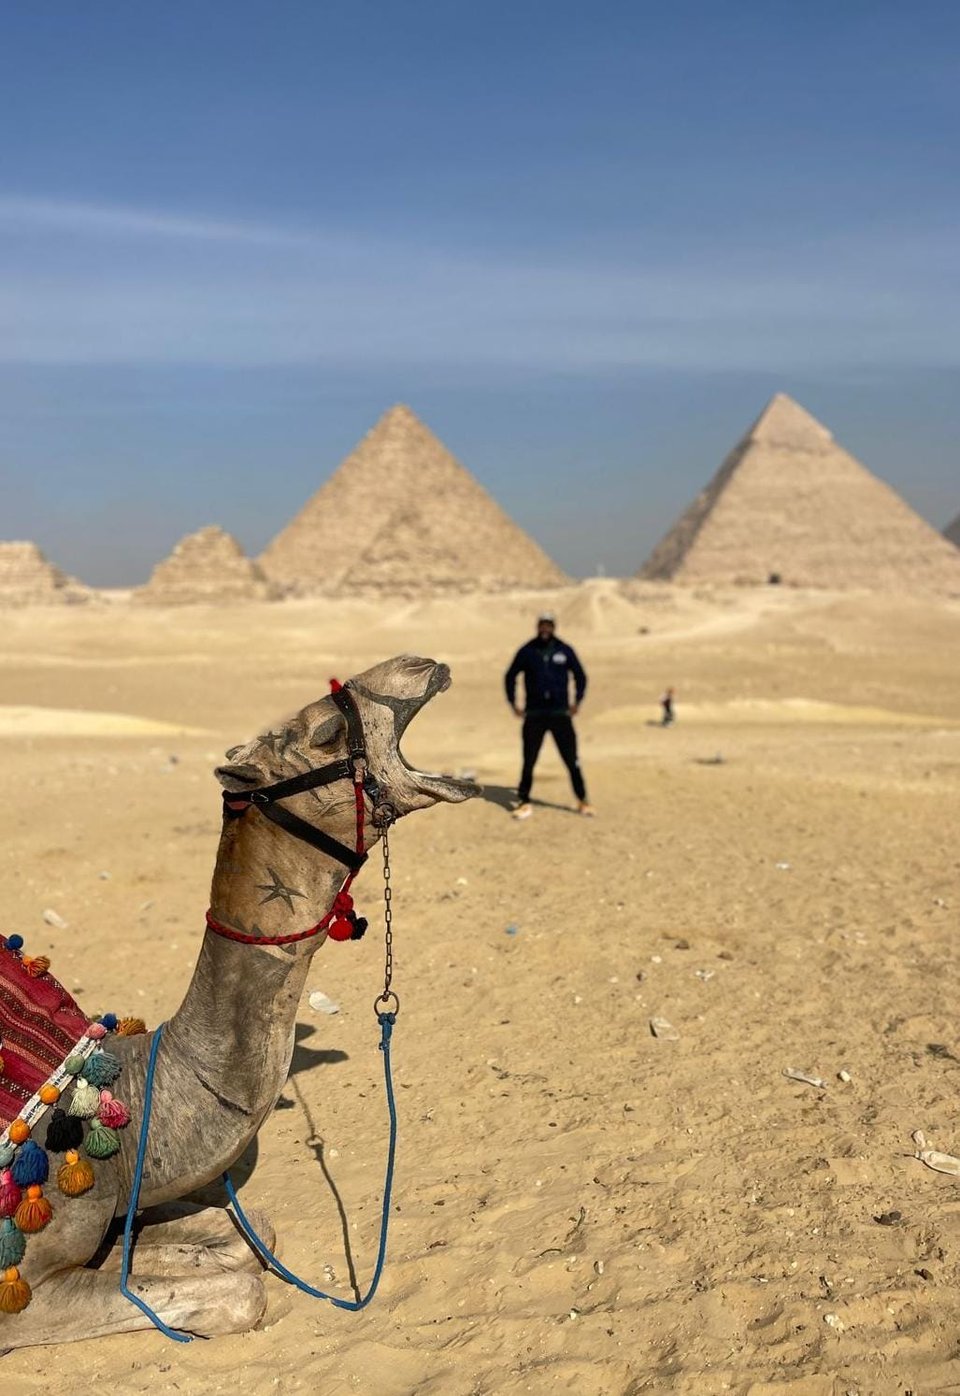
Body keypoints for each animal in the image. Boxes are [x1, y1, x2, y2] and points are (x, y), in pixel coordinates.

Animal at [0, 655, 476, 1348]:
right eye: (328, 731)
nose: (420, 664)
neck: (124, 1097)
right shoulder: (20, 1286)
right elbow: (242, 1292)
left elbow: (244, 1236)